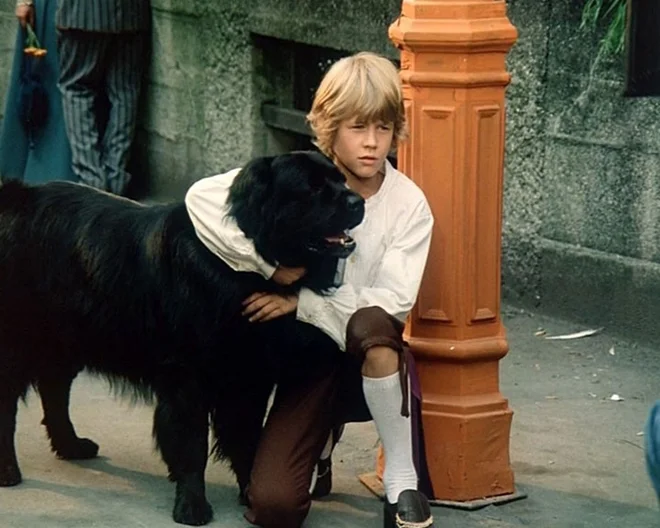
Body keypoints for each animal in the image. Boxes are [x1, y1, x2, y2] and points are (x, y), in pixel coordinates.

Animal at [0, 151, 364, 524]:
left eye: (340, 180)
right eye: (312, 188)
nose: (358, 201)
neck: (244, 267)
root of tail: (17, 196)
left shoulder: (249, 374)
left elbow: (247, 437)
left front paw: (250, 490)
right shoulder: (188, 376)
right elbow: (192, 443)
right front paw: (192, 505)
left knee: (54, 389)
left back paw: (71, 445)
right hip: (20, 341)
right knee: (8, 403)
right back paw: (9, 471)